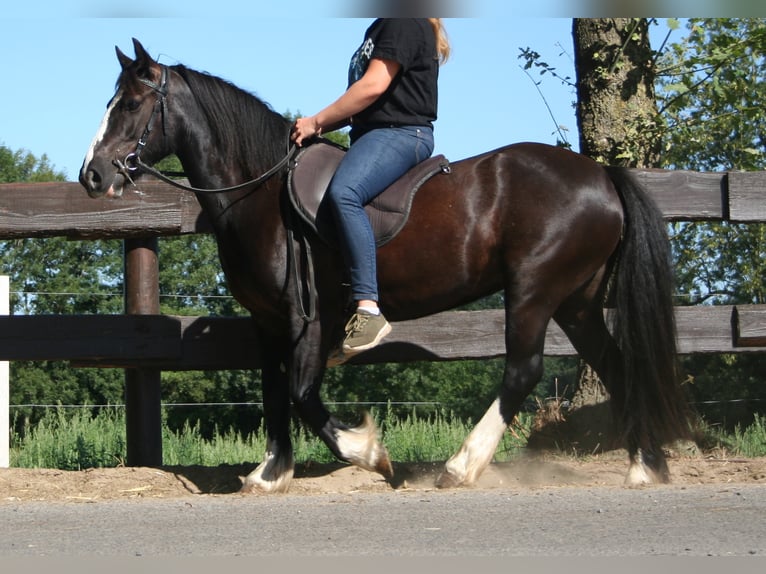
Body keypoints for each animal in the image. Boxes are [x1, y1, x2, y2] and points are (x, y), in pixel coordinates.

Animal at [81, 39, 692, 496]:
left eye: (130, 104)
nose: (92, 175)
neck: (262, 193)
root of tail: (602, 176)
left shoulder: (309, 316)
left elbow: (303, 394)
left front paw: (369, 452)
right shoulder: (269, 321)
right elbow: (275, 392)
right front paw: (271, 472)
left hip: (534, 292)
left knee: (523, 370)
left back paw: (461, 466)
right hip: (576, 301)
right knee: (618, 366)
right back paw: (644, 465)